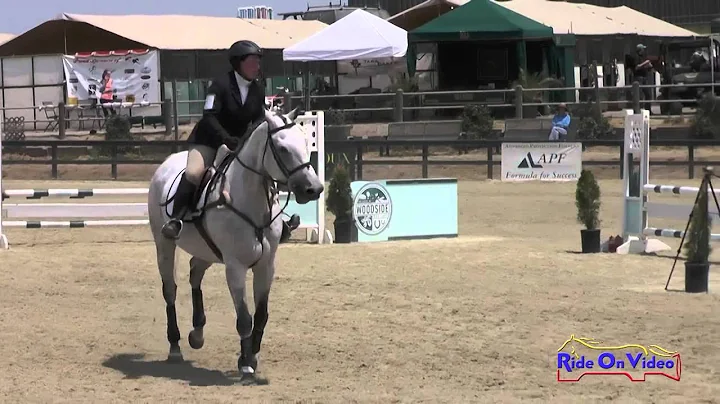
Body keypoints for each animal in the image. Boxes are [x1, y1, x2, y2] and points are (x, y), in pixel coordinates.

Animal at [148, 107, 322, 376]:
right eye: (282, 148)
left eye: (306, 142)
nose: (314, 189)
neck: (251, 201)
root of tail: (166, 164)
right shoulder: (235, 267)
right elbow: (244, 318)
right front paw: (246, 363)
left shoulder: (266, 266)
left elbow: (261, 315)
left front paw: (251, 357)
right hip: (164, 244)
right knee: (170, 290)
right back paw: (175, 346)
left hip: (207, 251)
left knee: (195, 272)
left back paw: (197, 334)